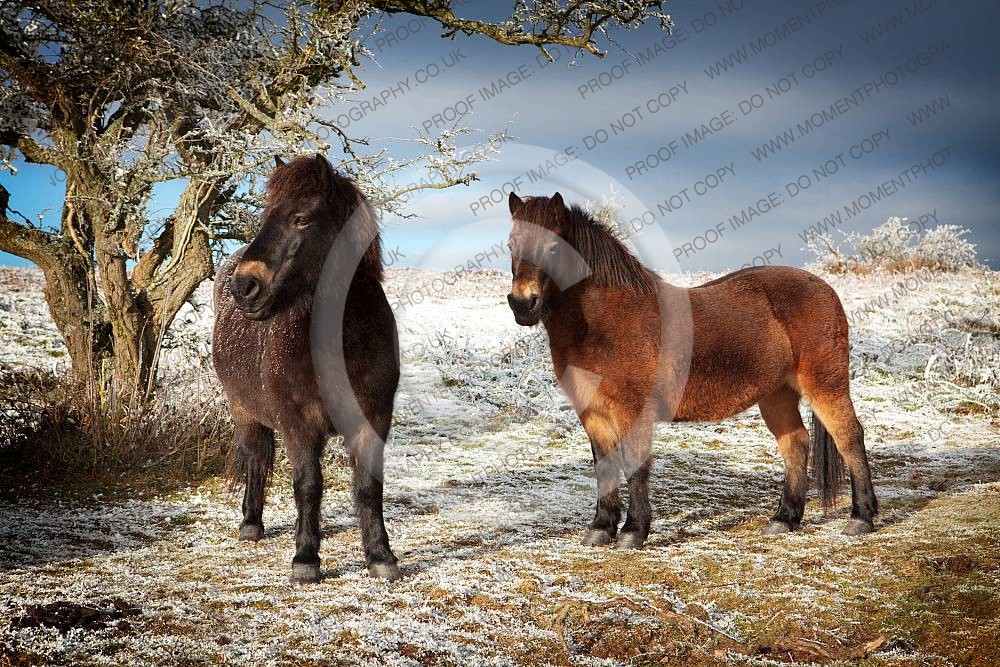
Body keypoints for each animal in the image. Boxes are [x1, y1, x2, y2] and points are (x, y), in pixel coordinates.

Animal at [212, 154, 401, 583]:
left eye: (301, 218)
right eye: (265, 215)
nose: (244, 287)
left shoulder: (373, 418)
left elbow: (368, 486)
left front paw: (380, 556)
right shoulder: (297, 423)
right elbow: (308, 484)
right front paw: (305, 559)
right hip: (242, 409)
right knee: (255, 458)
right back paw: (252, 524)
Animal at [505, 192, 877, 549]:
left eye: (554, 247)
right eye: (511, 245)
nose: (522, 304)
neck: (607, 321)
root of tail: (825, 288)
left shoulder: (632, 411)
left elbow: (635, 465)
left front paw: (633, 532)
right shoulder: (592, 412)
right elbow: (605, 466)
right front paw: (600, 529)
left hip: (825, 386)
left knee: (849, 437)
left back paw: (861, 518)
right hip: (777, 394)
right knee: (795, 444)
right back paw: (784, 519)